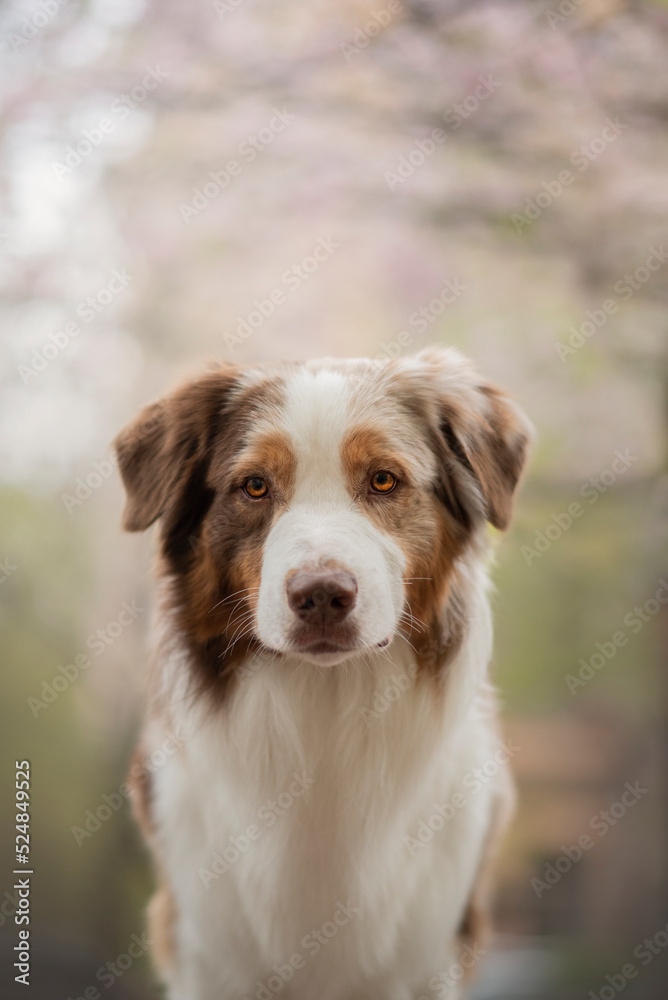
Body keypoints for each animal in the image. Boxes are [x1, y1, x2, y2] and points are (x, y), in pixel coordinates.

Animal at [116, 348, 532, 996]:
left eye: (384, 479)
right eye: (254, 486)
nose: (320, 596)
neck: (326, 702)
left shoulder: (428, 958)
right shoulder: (208, 953)